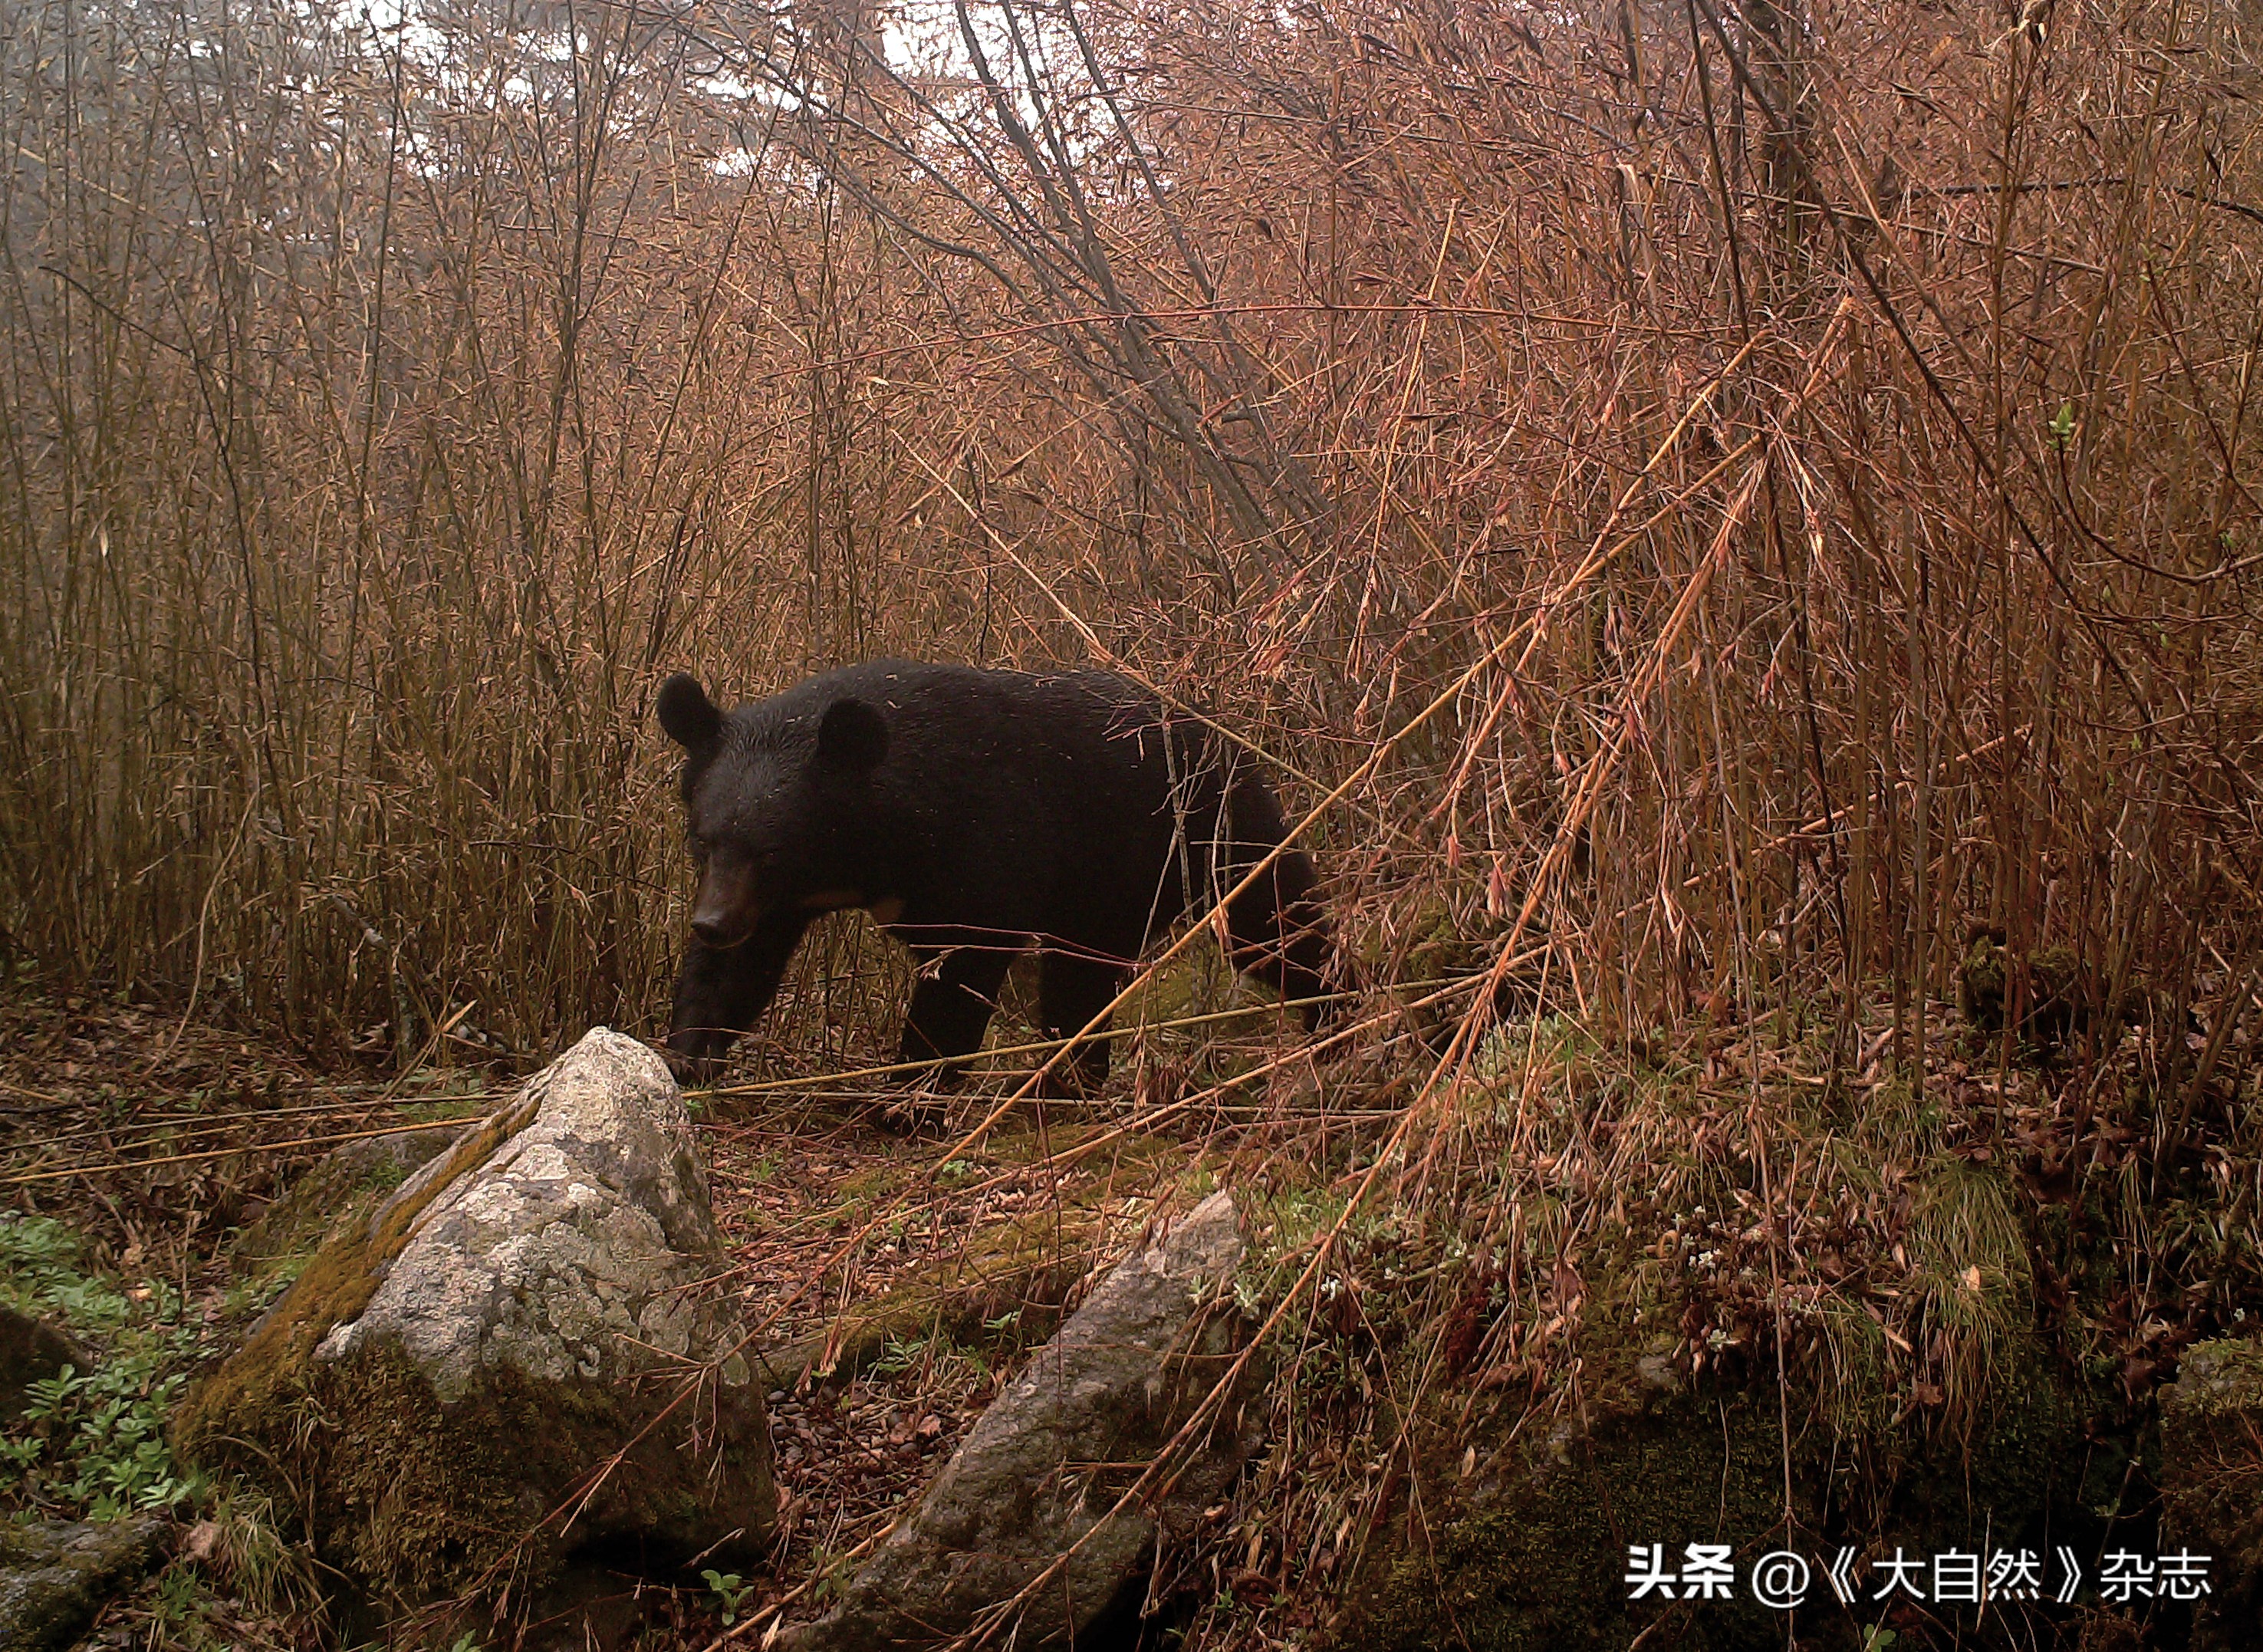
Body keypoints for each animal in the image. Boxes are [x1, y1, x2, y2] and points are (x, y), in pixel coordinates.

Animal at [655, 660, 1336, 1096]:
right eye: (702, 840)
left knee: (1273, 928)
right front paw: (689, 1055)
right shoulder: (773, 902)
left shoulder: (982, 838)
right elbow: (740, 968)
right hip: (1106, 889)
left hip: (1214, 835)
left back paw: (1335, 1015)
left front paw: (906, 1096)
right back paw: (1065, 1082)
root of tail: (1230, 739)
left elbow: (964, 962)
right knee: (1081, 980)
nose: (711, 923)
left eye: (773, 850)